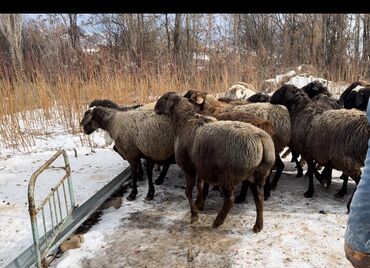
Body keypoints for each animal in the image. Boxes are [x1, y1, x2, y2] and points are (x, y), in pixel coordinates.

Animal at [153, 91, 274, 231]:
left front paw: (194, 215)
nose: (155, 108)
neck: (184, 120)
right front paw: (199, 204)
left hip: (228, 174)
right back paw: (258, 225)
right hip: (257, 175)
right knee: (259, 198)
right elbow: (200, 186)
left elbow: (188, 192)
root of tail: (261, 139)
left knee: (230, 199)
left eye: (163, 98)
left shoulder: (188, 167)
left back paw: (218, 221)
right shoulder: (200, 165)